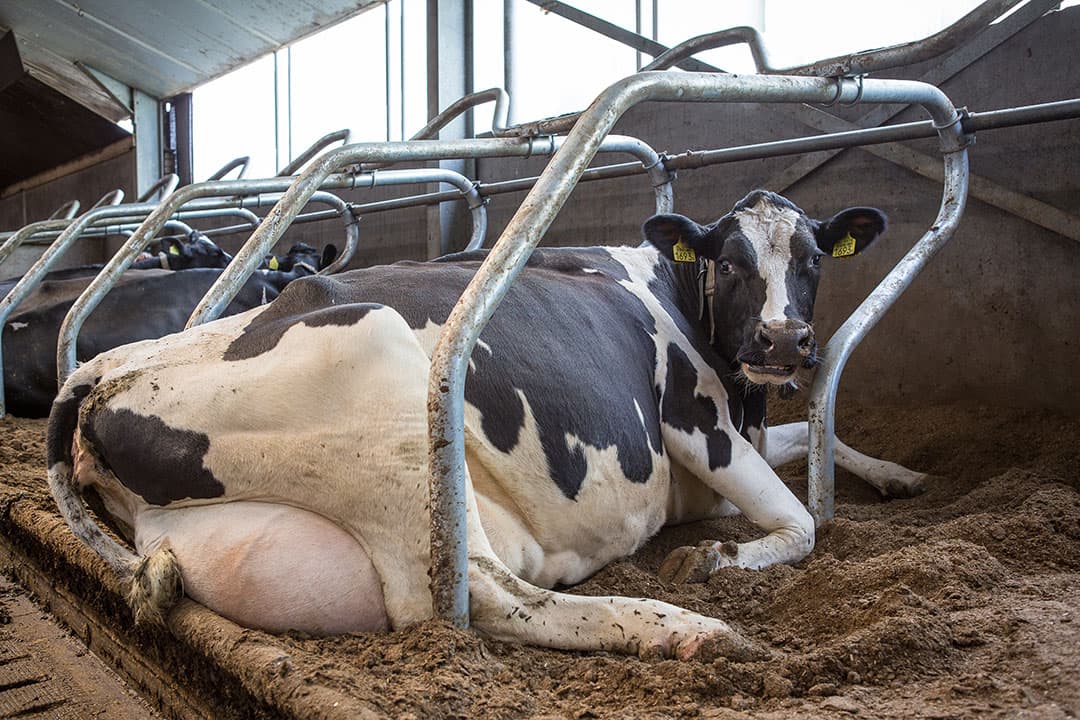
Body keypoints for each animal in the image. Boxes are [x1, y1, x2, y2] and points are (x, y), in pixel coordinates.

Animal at [47, 190, 930, 659]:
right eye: (732, 261)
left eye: (813, 259)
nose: (783, 342)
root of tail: (104, 374)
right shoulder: (694, 422)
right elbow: (799, 523)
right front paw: (717, 560)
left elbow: (814, 438)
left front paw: (900, 475)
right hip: (383, 385)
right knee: (494, 594)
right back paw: (686, 628)